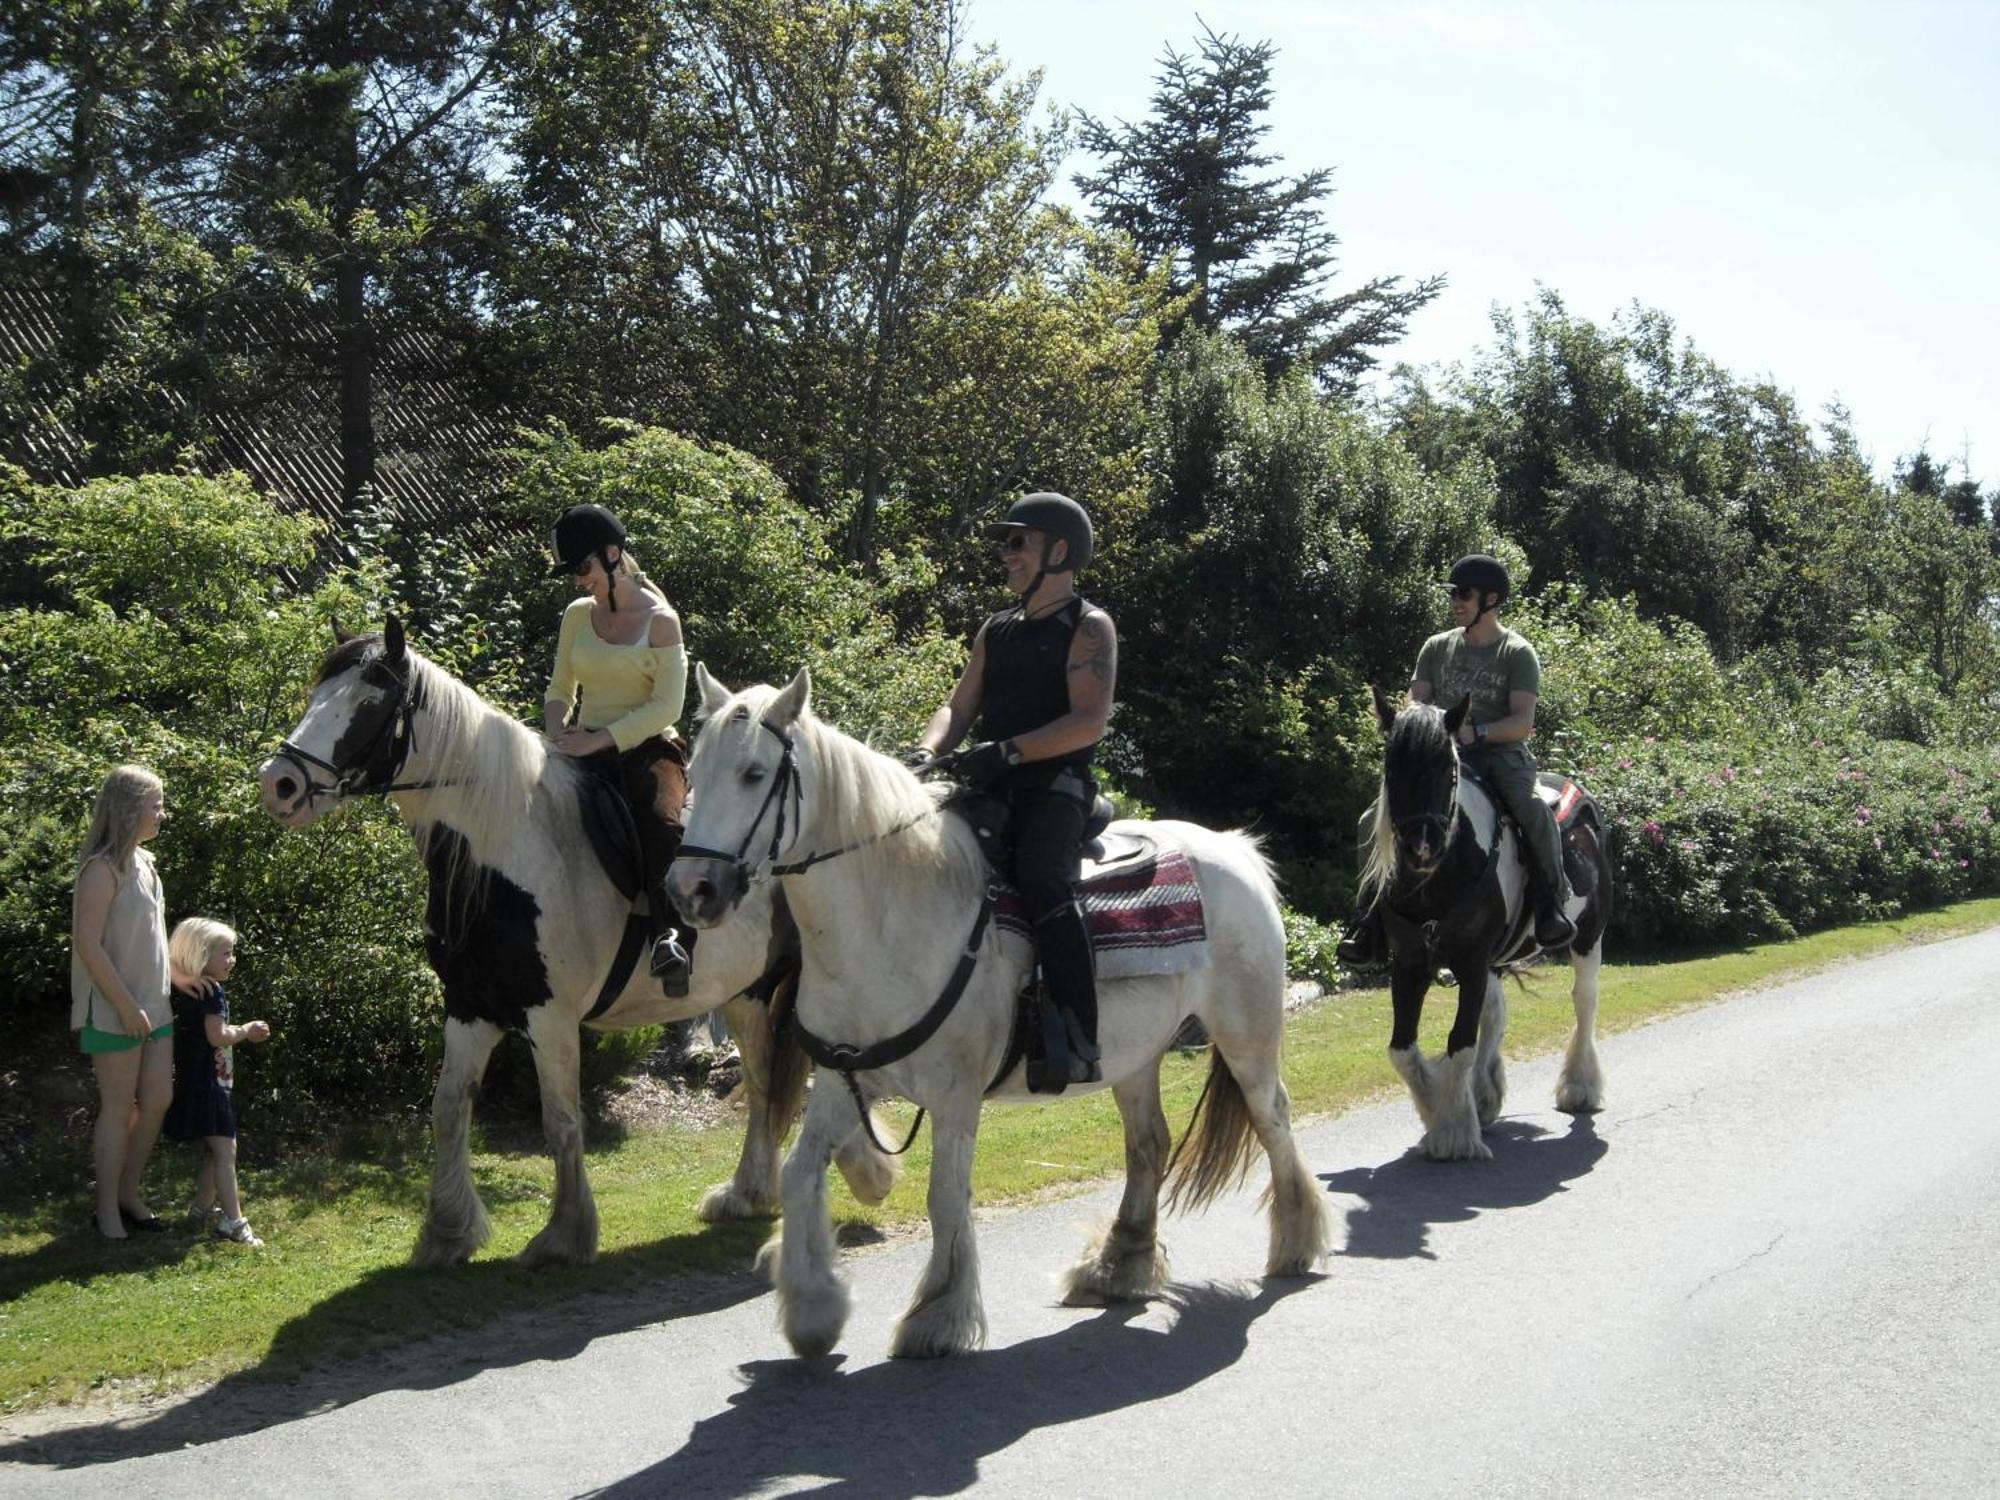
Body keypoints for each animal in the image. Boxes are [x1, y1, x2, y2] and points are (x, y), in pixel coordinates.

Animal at [256, 620, 892, 1272]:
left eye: (369, 703)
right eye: (316, 694)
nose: (278, 784)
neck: (506, 851)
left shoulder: (550, 1017)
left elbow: (560, 1121)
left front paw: (564, 1234)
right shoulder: (470, 1008)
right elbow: (448, 1110)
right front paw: (448, 1232)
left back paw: (858, 1172)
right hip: (746, 993)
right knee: (765, 1083)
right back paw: (748, 1194)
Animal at [668, 668, 1328, 1360]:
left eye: (753, 773)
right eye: (695, 767)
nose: (690, 890)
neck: (893, 914)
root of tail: (1234, 848)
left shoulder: (956, 1095)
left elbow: (946, 1197)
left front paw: (939, 1314)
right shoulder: (847, 1079)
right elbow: (800, 1174)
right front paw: (813, 1308)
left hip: (1247, 1032)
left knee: (1272, 1118)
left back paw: (1295, 1242)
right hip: (1135, 1057)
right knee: (1149, 1144)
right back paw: (1118, 1265)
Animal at [1352, 688, 1616, 1168]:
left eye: (1449, 768)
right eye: (1391, 765)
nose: (1422, 845)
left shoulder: (1472, 961)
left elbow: (1460, 1042)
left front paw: (1454, 1133)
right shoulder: (1411, 963)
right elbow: (1403, 1050)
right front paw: (1439, 1112)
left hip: (1588, 936)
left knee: (1584, 1001)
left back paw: (1580, 1087)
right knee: (1495, 1013)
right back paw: (1483, 1095)